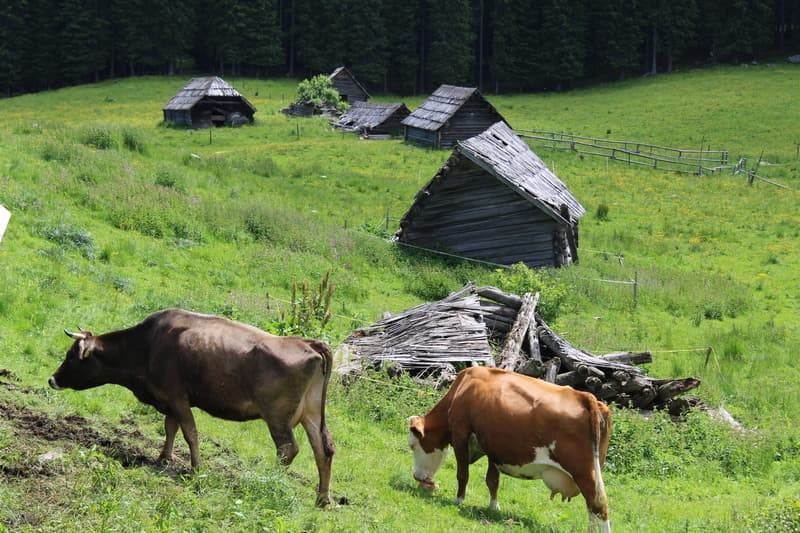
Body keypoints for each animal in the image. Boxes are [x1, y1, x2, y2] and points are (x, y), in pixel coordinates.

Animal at [47, 308, 334, 502]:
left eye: (71, 356)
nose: (52, 379)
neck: (148, 345)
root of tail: (307, 342)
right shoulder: (169, 400)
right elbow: (170, 428)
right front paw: (163, 458)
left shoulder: (176, 397)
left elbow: (190, 433)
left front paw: (196, 469)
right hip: (311, 415)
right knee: (323, 450)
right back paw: (322, 498)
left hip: (277, 417)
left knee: (288, 450)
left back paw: (268, 479)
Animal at [406, 366, 612, 532]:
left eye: (412, 445)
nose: (416, 476)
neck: (464, 387)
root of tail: (585, 397)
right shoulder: (492, 445)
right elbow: (492, 480)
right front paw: (493, 507)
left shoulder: (460, 434)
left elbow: (463, 474)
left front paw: (459, 501)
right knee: (592, 509)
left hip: (584, 472)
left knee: (599, 505)